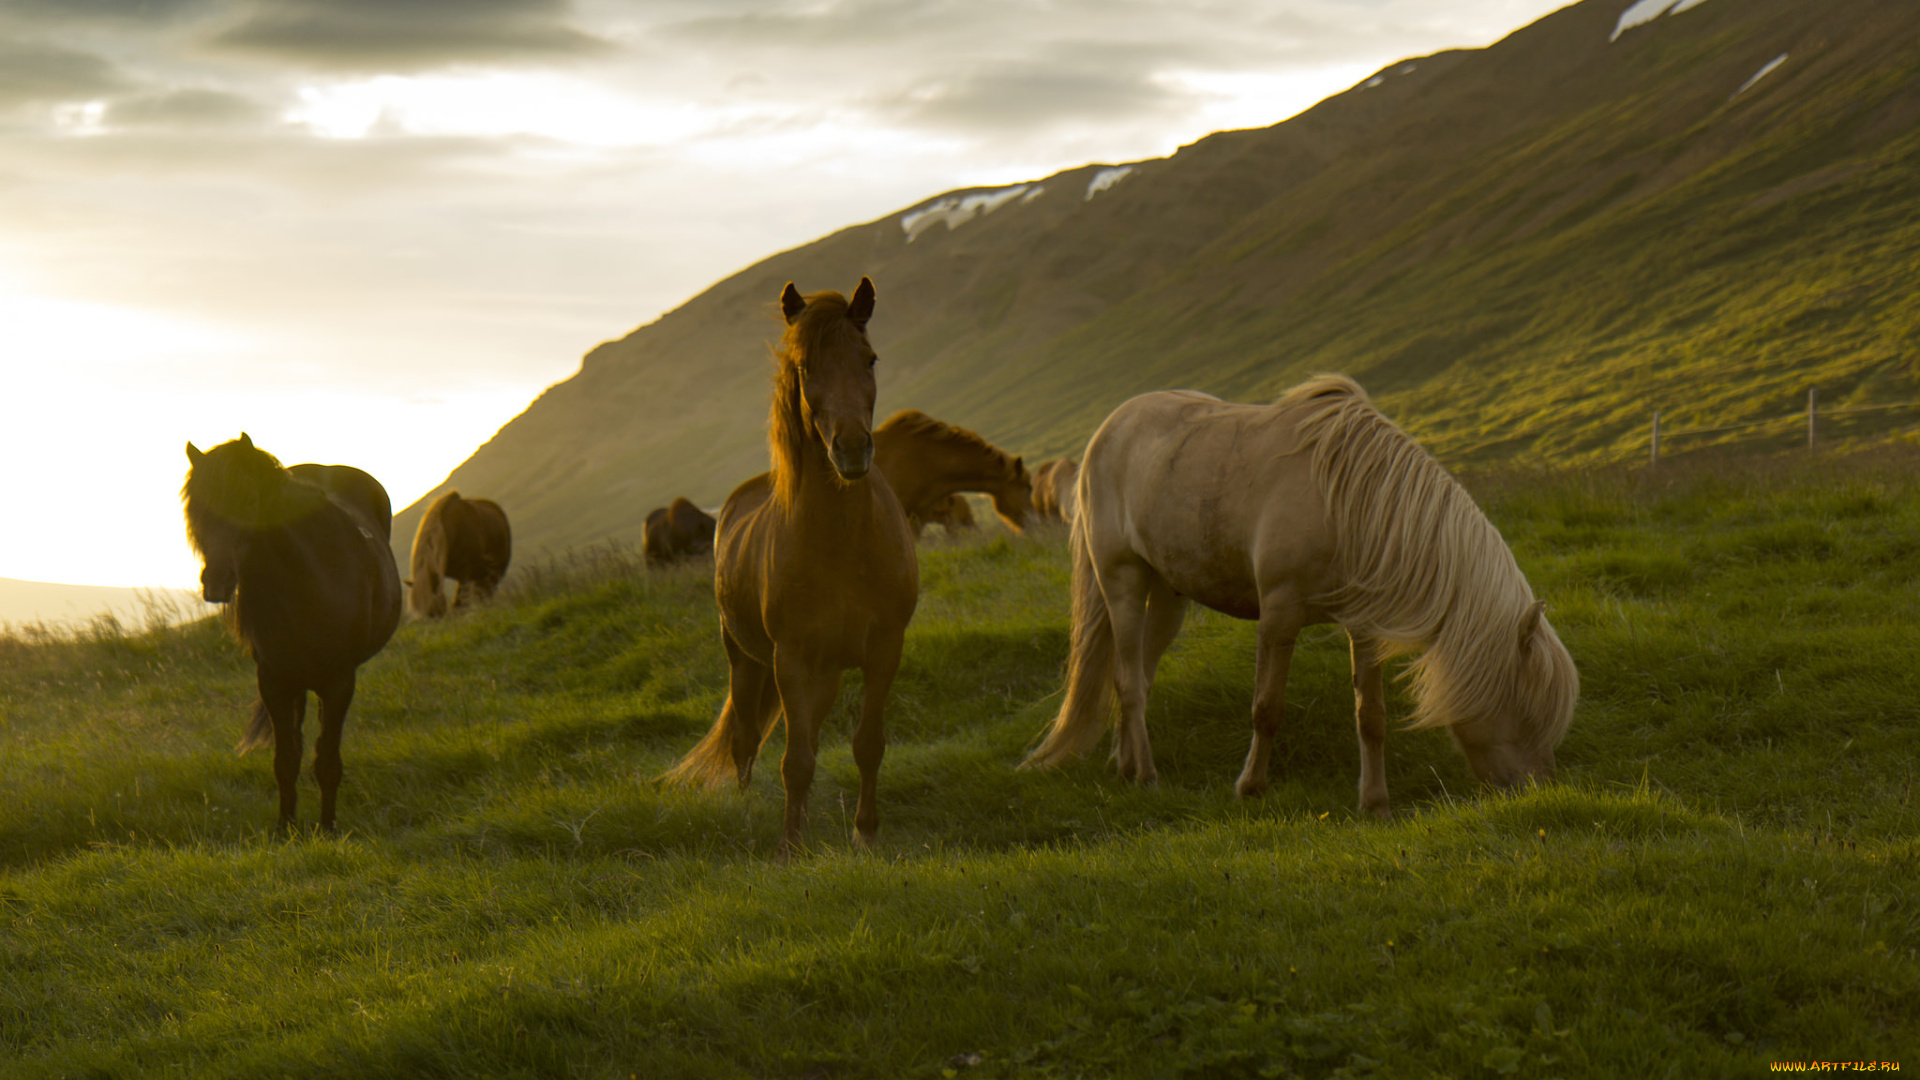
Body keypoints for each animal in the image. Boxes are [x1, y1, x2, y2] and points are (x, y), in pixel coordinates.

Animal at [181, 430, 403, 834]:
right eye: (196, 509)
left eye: (248, 500)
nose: (216, 582)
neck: (309, 581)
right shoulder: (275, 682)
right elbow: (286, 761)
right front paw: (286, 829)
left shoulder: (339, 682)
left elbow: (327, 761)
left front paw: (328, 828)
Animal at [668, 276, 921, 857]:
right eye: (805, 368)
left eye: (870, 359)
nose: (850, 449)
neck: (844, 546)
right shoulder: (791, 660)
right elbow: (795, 760)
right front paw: (789, 846)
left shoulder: (884, 650)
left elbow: (867, 744)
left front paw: (866, 833)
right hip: (746, 660)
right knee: (744, 740)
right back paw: (747, 809)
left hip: (822, 674)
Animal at [1029, 374, 1582, 810]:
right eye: (1526, 709)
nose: (1538, 789)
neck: (1352, 506)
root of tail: (1108, 428)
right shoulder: (1278, 614)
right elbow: (1267, 707)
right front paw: (1251, 786)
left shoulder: (1366, 627)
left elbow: (1371, 715)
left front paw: (1374, 801)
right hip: (1121, 580)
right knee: (1127, 679)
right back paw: (1146, 775)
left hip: (1169, 595)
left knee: (1138, 674)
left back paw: (1124, 765)